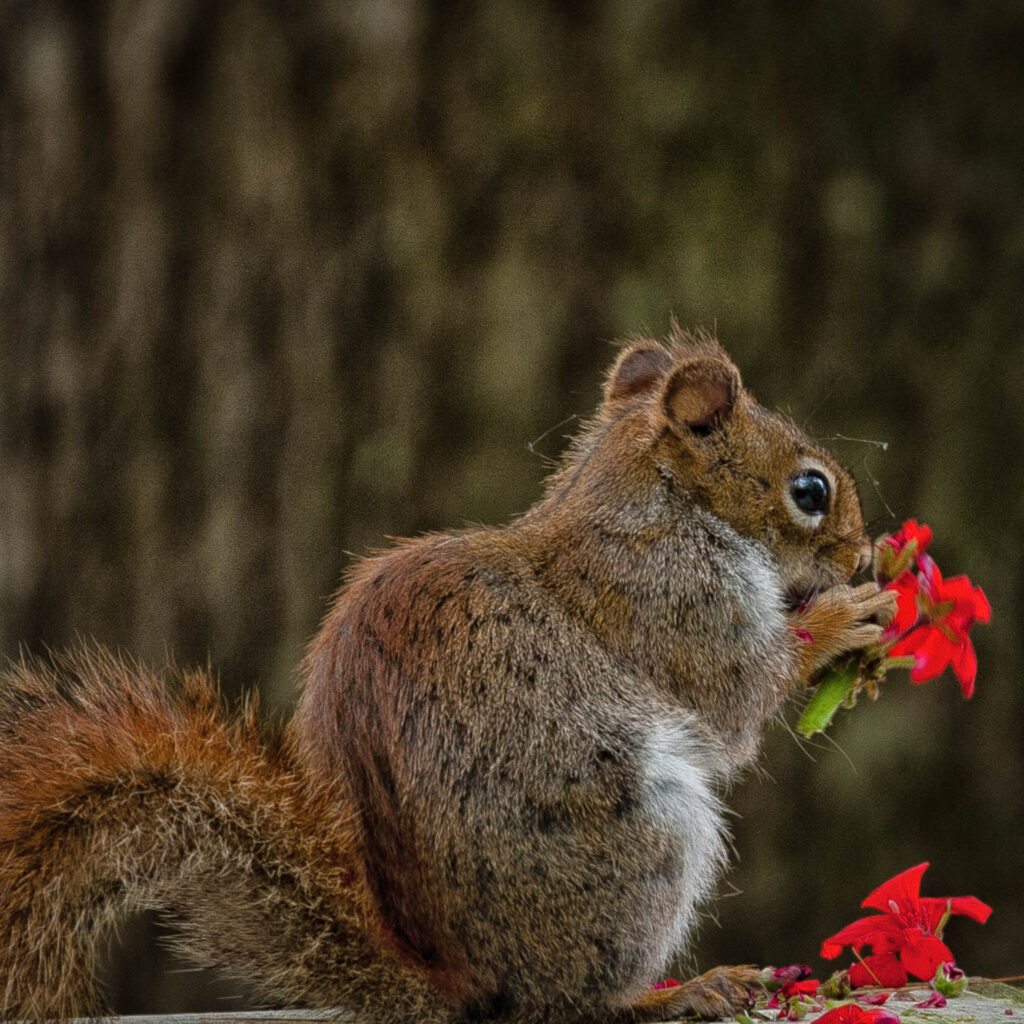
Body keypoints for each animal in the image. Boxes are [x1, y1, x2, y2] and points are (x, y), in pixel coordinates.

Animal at [0, 329, 897, 1024]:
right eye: (810, 490)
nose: (858, 552)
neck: (658, 502)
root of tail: (462, 985)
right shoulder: (672, 601)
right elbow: (738, 693)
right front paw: (842, 621)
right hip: (642, 836)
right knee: (572, 1004)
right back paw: (675, 992)